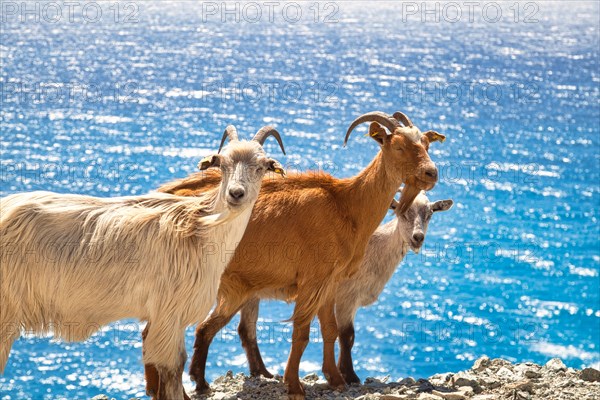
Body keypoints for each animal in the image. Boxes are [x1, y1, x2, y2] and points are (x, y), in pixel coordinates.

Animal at [0, 125, 286, 400]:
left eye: (261, 166)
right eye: (223, 164)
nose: (236, 194)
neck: (198, 228)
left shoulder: (165, 318)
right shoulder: (168, 315)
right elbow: (172, 373)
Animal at [144, 110, 446, 400]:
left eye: (426, 144)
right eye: (398, 146)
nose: (431, 173)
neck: (346, 204)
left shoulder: (331, 282)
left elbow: (330, 330)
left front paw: (335, 380)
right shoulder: (313, 280)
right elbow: (301, 333)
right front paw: (294, 385)